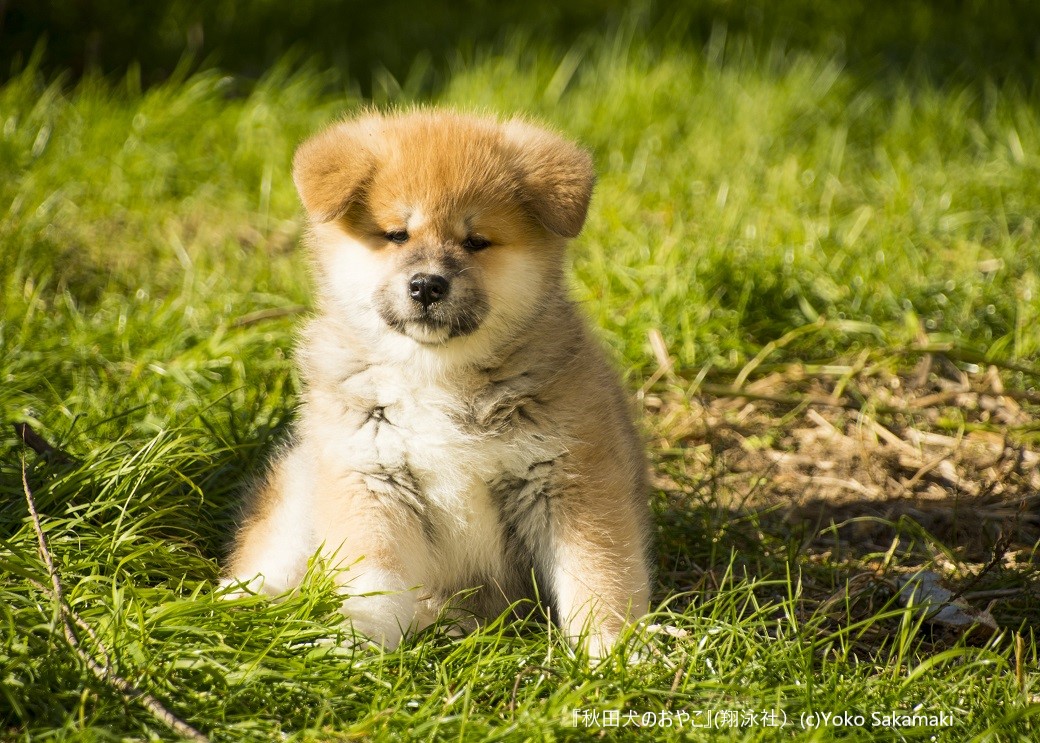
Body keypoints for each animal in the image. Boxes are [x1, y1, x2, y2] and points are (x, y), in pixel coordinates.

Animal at [224, 109, 653, 653]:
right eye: (396, 235)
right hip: (298, 497)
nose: (427, 285)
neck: (436, 374)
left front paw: (615, 653)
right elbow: (373, 586)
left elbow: (599, 578)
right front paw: (355, 647)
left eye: (476, 241)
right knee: (265, 561)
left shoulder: (571, 481)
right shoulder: (370, 479)